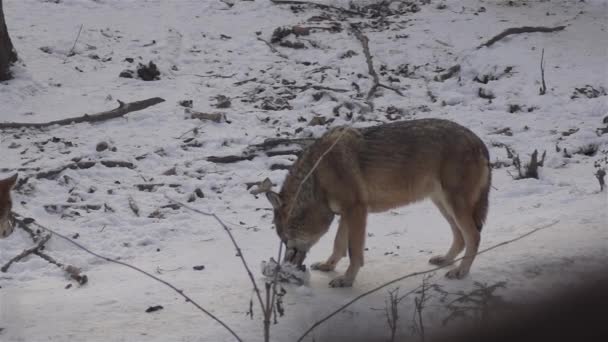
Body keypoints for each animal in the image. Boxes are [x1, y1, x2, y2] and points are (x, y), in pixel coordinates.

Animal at [266, 119, 490, 288]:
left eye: (285, 240)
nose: (285, 266)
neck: (318, 175)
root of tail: (478, 140)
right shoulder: (347, 213)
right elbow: (339, 244)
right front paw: (328, 266)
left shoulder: (357, 210)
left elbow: (354, 252)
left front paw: (347, 280)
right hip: (442, 205)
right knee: (460, 237)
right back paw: (445, 260)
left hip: (454, 206)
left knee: (474, 236)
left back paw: (461, 271)